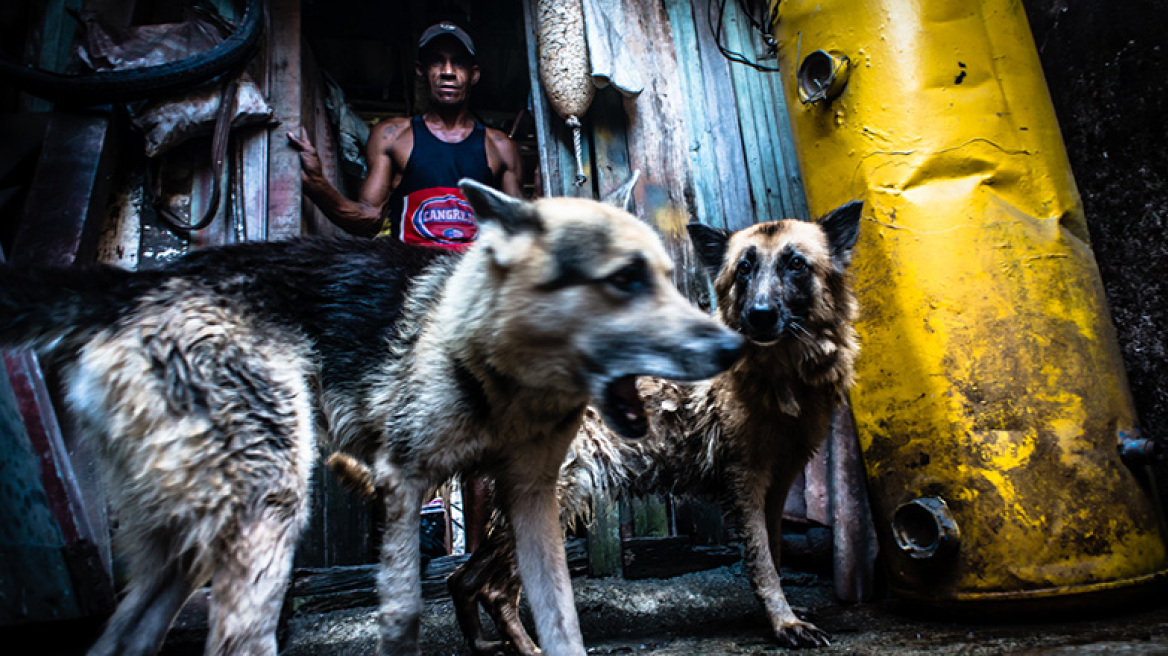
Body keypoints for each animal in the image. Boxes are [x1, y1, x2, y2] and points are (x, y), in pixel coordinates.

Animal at [0, 175, 742, 653]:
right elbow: (404, 614)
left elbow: (562, 623)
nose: (732, 348)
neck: (502, 374)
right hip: (269, 513)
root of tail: (140, 285)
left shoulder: (532, 501)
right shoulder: (403, 484)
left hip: (188, 548)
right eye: (624, 281)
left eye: (667, 278)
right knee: (238, 639)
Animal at [441, 201, 864, 648]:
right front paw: (784, 624)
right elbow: (763, 561)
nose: (760, 316)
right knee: (495, 589)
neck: (780, 370)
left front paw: (781, 615)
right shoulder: (746, 481)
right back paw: (528, 648)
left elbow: (774, 553)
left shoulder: (778, 484)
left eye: (796, 264)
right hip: (556, 498)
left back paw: (483, 644)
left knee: (462, 578)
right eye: (744, 269)